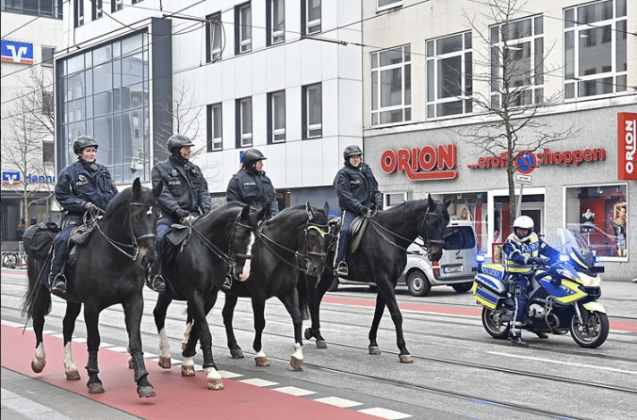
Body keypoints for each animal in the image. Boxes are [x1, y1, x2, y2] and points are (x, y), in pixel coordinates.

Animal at [23, 179, 164, 398]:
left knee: (67, 325)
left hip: (72, 299)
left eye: (158, 215)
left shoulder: (134, 301)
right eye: (135, 215)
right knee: (38, 319)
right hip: (41, 290)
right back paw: (39, 360)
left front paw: (143, 381)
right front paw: (94, 379)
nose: (149, 257)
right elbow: (94, 340)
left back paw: (70, 368)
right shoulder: (92, 305)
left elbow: (135, 340)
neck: (116, 257)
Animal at [153, 202, 268, 388]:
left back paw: (164, 355)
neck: (204, 249)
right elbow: (204, 331)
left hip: (166, 292)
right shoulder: (194, 295)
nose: (243, 274)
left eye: (257, 239)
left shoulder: (210, 297)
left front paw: (188, 361)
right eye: (239, 236)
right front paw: (212, 371)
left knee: (158, 314)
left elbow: (197, 330)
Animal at [302, 195, 448, 362]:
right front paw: (403, 350)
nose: (436, 254)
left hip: (327, 275)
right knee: (313, 298)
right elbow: (396, 314)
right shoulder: (383, 279)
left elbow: (378, 312)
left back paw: (316, 334)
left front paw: (373, 343)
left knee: (316, 298)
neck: (389, 235)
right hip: (312, 273)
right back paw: (316, 334)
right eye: (432, 223)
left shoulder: (388, 281)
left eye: (446, 224)